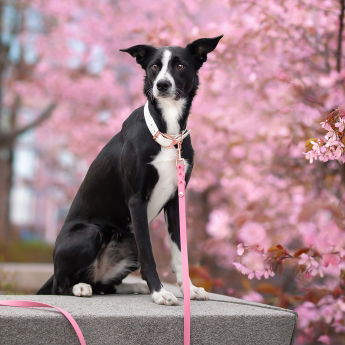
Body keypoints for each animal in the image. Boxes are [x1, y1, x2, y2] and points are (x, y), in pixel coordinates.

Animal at [37, 35, 220, 304]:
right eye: (154, 66)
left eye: (180, 65)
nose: (162, 85)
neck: (167, 133)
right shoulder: (136, 200)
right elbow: (149, 253)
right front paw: (159, 292)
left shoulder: (175, 200)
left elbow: (179, 252)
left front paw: (189, 289)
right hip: (89, 233)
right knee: (61, 285)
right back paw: (80, 287)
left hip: (128, 239)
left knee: (104, 285)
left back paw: (131, 286)